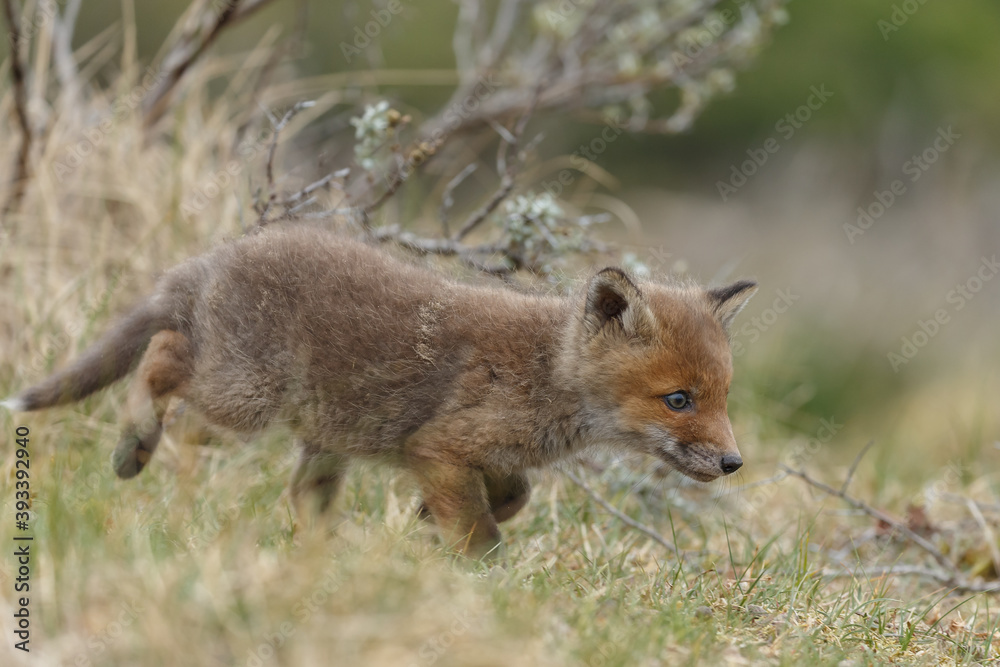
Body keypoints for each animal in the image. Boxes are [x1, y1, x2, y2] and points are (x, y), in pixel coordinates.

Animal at [3, 223, 757, 558]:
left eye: (723, 396)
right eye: (679, 400)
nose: (733, 462)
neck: (546, 378)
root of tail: (219, 253)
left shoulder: (482, 457)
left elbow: (513, 496)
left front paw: (425, 523)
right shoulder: (440, 448)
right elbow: (484, 532)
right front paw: (484, 580)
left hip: (319, 439)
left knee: (300, 494)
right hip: (241, 397)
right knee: (161, 363)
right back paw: (135, 443)